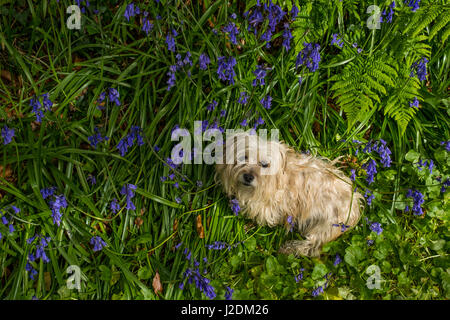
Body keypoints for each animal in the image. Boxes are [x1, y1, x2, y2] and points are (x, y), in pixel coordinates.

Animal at [215, 132, 362, 258]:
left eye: (265, 164)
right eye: (243, 157)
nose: (248, 177)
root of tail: (355, 207)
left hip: (327, 226)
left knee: (312, 247)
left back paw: (290, 248)